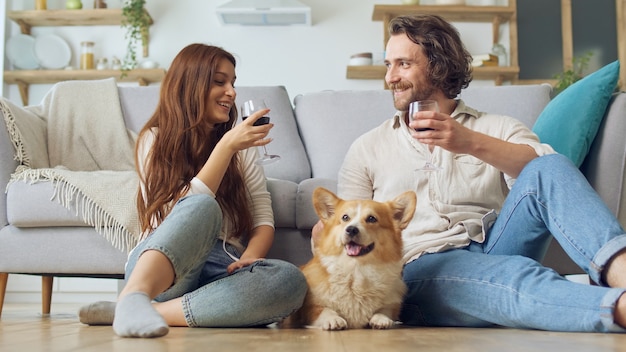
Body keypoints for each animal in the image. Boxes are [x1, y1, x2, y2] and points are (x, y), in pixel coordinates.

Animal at [282, 187, 414, 330]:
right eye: (345, 217)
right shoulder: (311, 307)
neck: (356, 269)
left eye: (371, 218)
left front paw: (381, 319)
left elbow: (385, 310)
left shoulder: (391, 303)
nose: (351, 229)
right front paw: (333, 319)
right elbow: (325, 310)